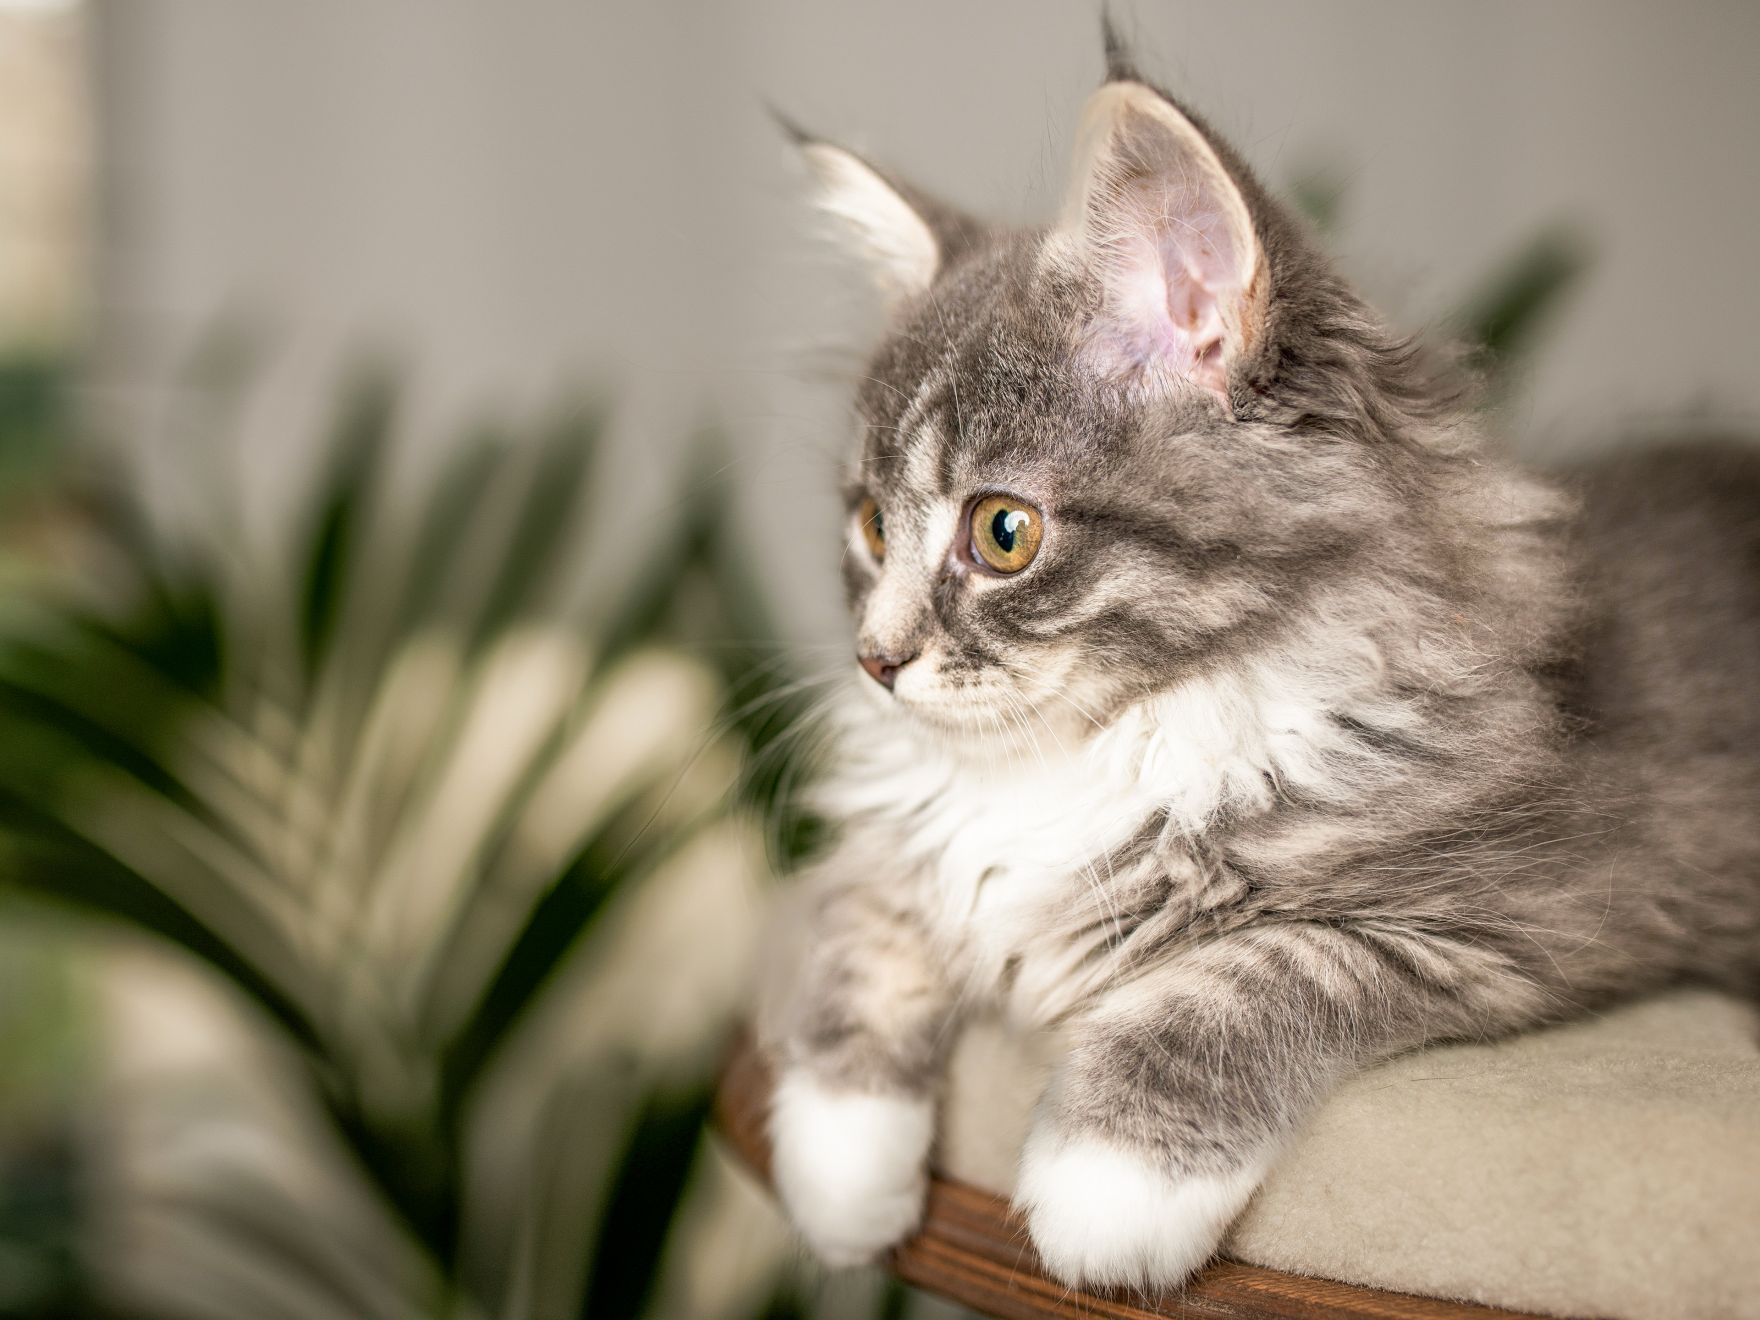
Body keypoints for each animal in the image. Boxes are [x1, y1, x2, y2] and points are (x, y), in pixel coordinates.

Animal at [760, 28, 1760, 1295]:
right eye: (871, 529)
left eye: (1002, 532)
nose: (873, 661)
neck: (1105, 745)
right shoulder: (906, 848)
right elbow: (860, 926)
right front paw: (840, 1171)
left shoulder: (1549, 902)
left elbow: (1255, 971)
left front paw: (1106, 1181)